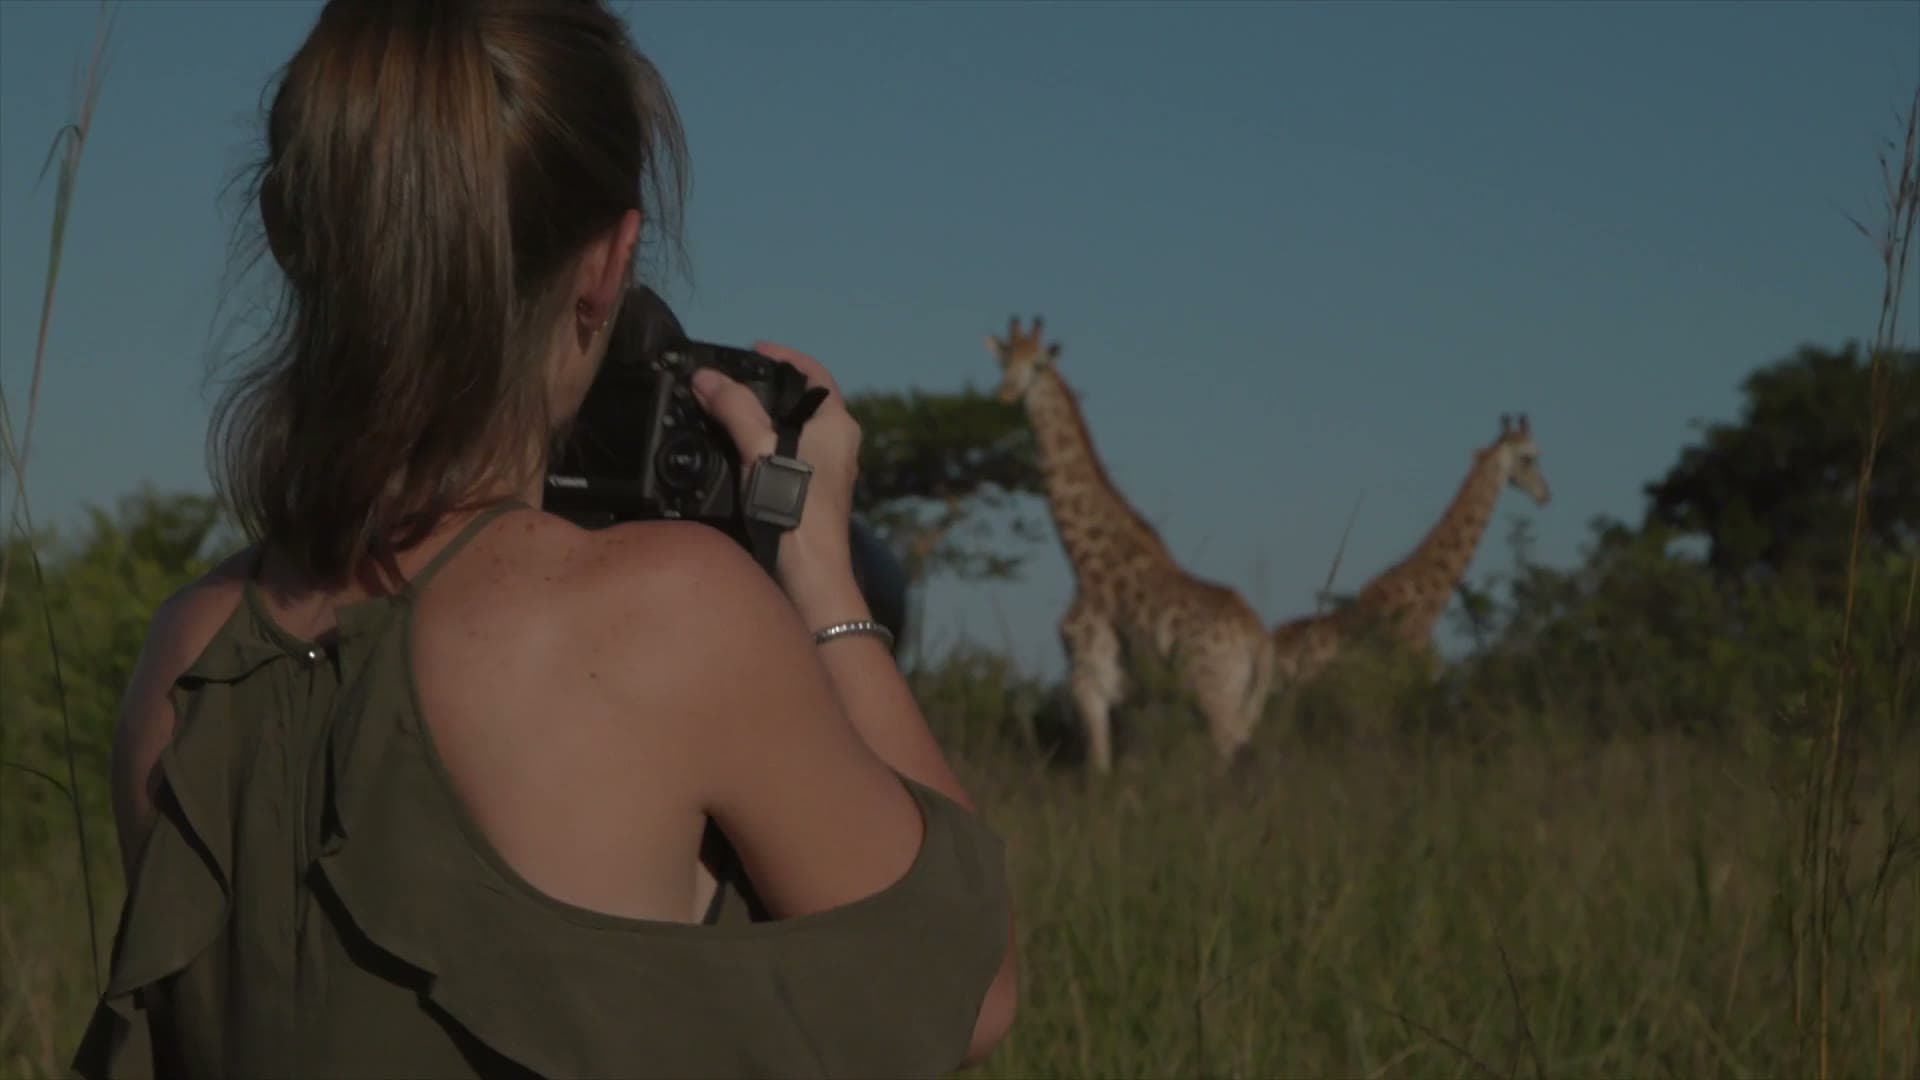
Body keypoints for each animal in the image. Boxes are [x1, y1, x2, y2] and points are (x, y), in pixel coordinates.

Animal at [987, 315, 1274, 774]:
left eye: (1038, 366)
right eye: (1004, 362)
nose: (1005, 395)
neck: (1081, 557)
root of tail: (1260, 642)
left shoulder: (1090, 676)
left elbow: (1097, 769)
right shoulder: (1132, 699)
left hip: (1214, 694)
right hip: (1245, 703)